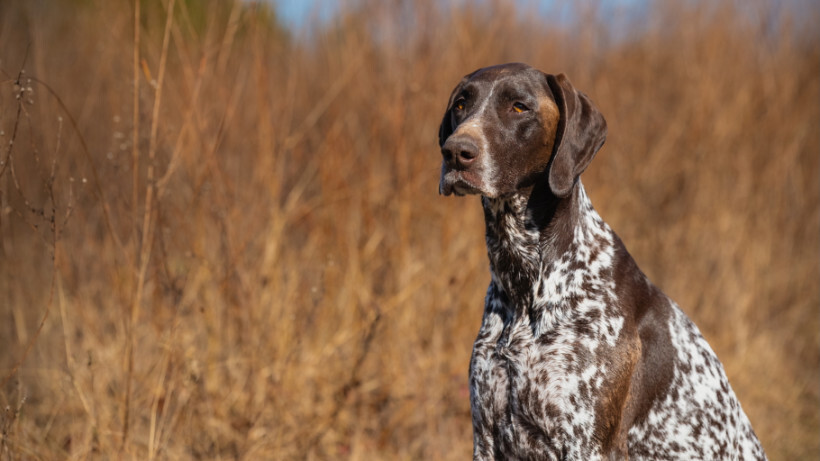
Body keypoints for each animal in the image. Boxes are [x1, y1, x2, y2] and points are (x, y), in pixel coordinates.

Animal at [438, 63, 764, 458]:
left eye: (518, 107)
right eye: (461, 104)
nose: (456, 152)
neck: (525, 281)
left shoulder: (583, 442)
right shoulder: (486, 438)